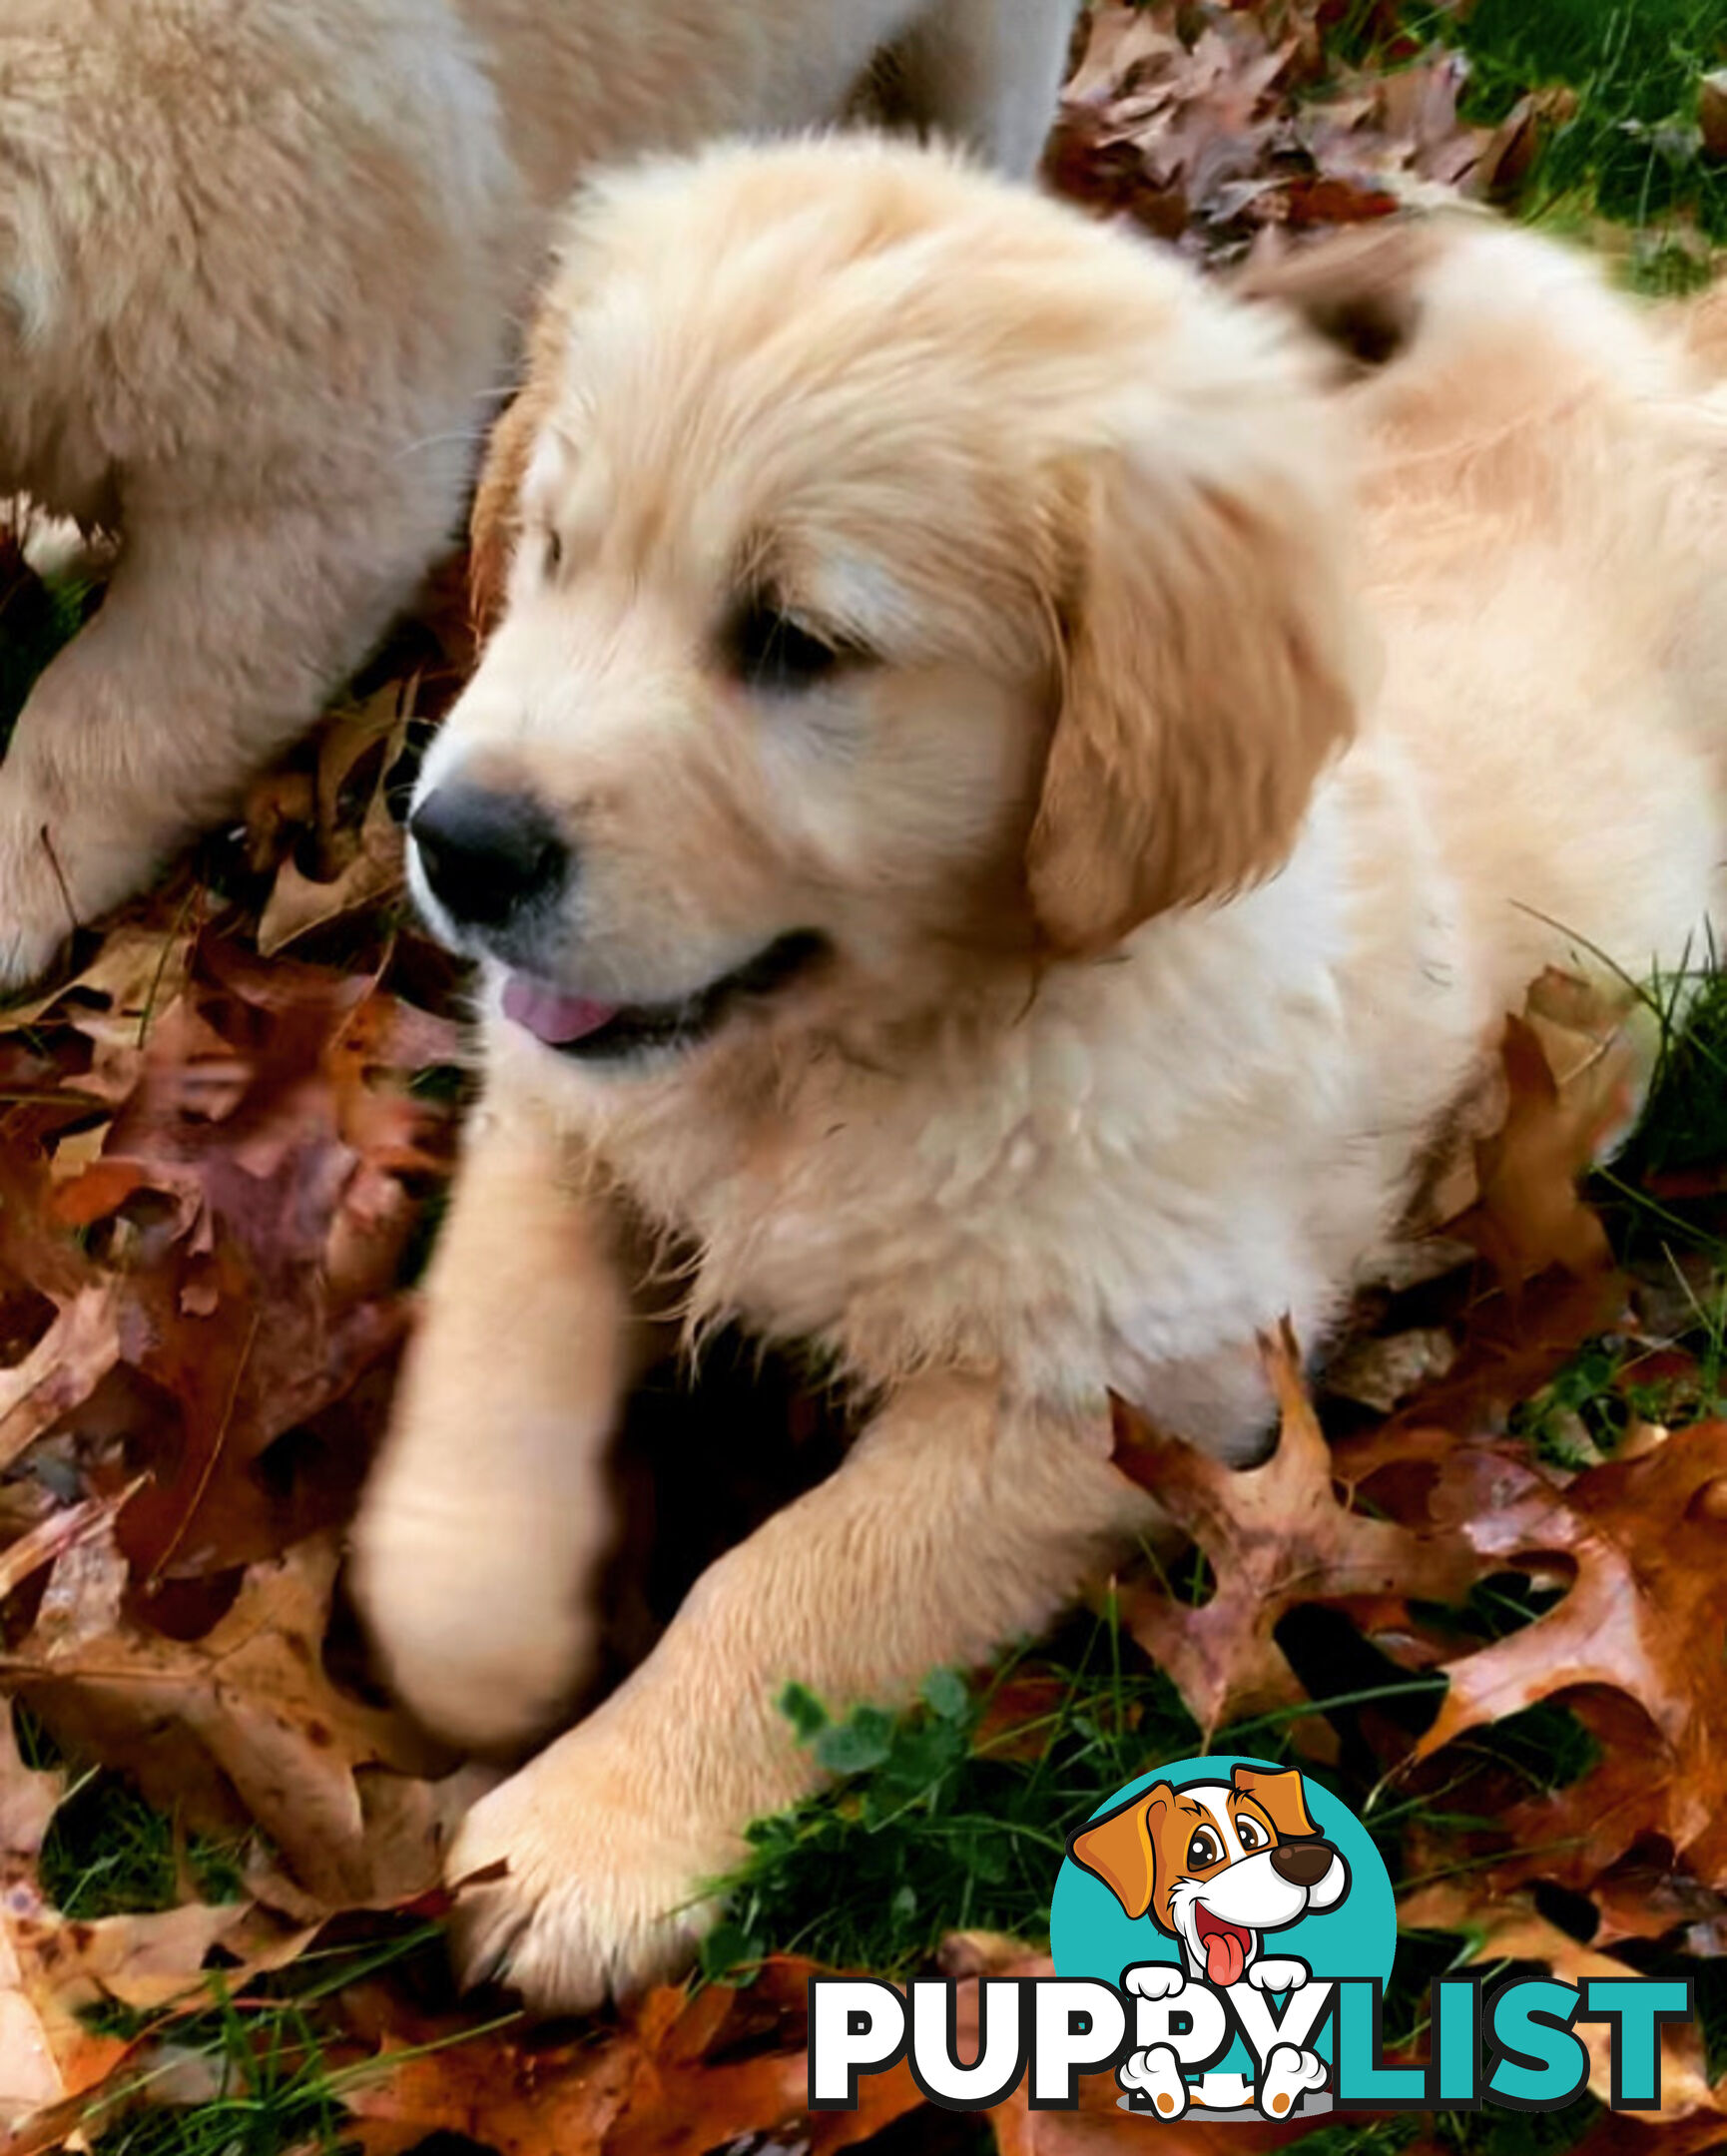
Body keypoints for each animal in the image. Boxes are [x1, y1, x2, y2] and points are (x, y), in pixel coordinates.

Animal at [348, 147, 1724, 2000]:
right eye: (556, 552)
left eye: (797, 643)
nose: (460, 844)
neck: (839, 1061)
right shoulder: (562, 1102)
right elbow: (491, 1350)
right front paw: (473, 1634)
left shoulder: (1131, 1374)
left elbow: (803, 1579)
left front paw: (589, 1836)